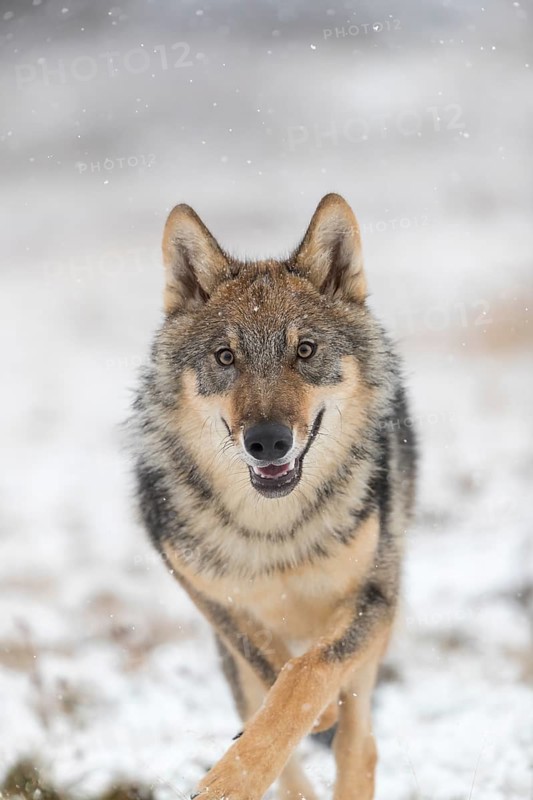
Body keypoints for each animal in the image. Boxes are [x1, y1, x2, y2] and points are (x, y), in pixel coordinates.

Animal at [130, 193, 416, 800]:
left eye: (304, 351)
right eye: (225, 357)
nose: (267, 441)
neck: (275, 529)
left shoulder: (376, 597)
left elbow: (308, 672)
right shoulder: (202, 589)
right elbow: (269, 660)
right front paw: (235, 776)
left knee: (360, 746)